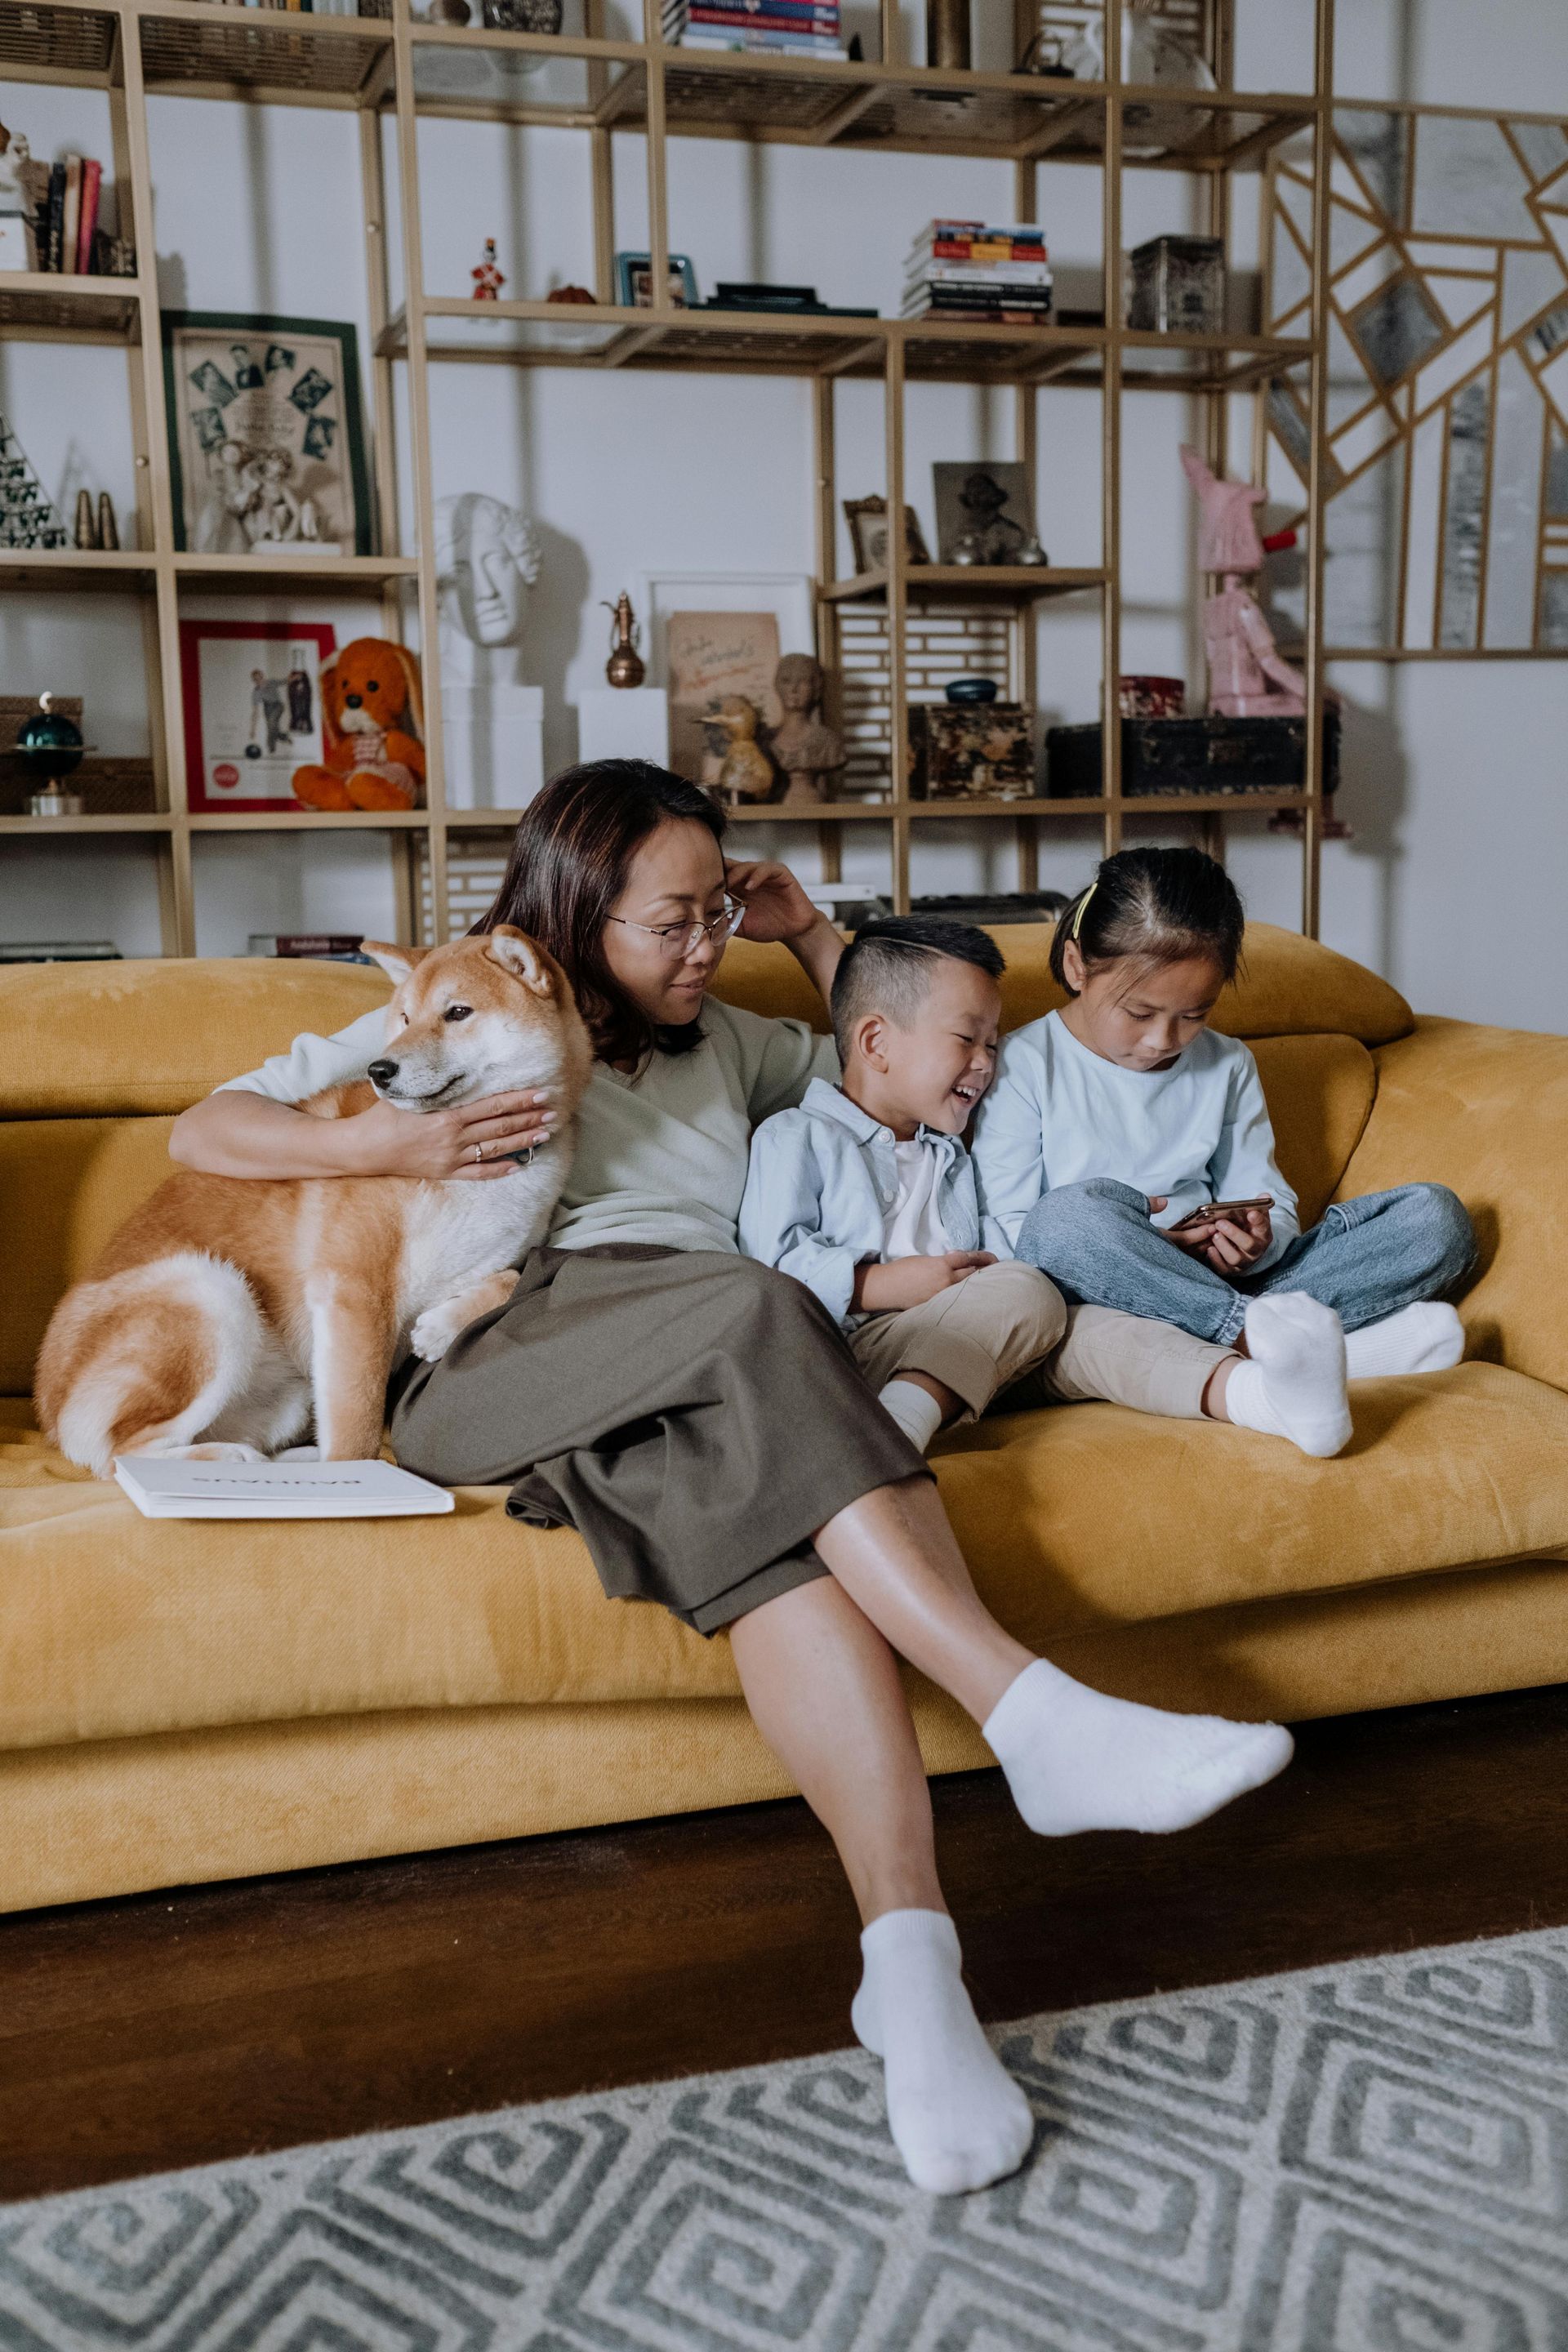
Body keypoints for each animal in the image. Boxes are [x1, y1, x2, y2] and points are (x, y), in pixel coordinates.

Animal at [36, 917, 592, 1468]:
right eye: (405, 1018)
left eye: (458, 1013)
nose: (379, 1070)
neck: (479, 1169)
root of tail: (49, 1407)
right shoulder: (355, 1293)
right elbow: (356, 1433)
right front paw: (359, 1480)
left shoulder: (493, 1257)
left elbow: (512, 1278)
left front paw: (440, 1327)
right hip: (210, 1290)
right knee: (125, 1453)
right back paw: (238, 1464)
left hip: (292, 1398)